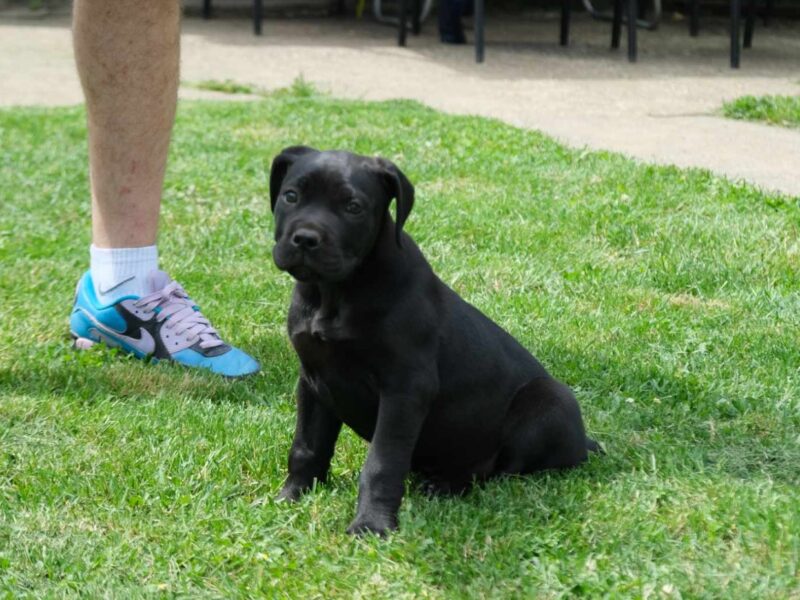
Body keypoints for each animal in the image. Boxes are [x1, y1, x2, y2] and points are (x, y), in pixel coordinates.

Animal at [272, 148, 596, 536]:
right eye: (291, 196)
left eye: (353, 207)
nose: (305, 239)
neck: (334, 293)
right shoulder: (313, 379)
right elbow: (307, 445)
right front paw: (292, 496)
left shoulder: (405, 388)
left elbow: (382, 462)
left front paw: (371, 525)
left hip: (550, 401)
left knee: (495, 471)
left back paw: (445, 486)